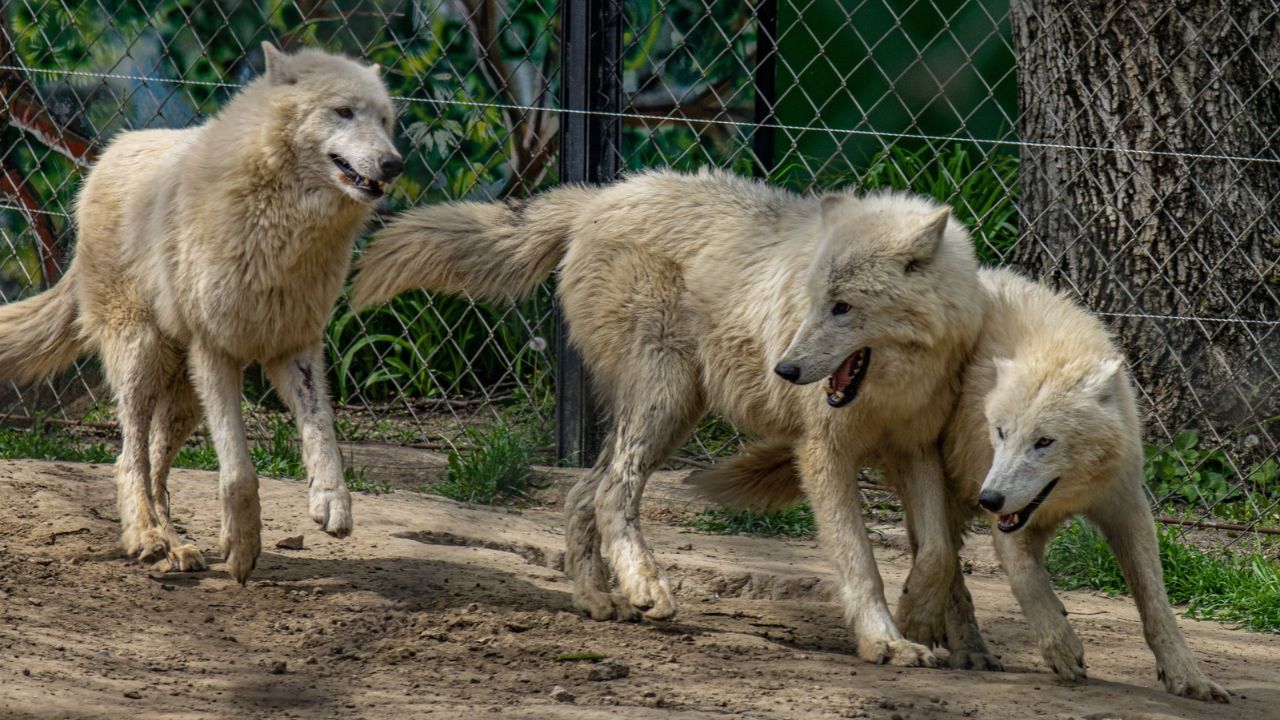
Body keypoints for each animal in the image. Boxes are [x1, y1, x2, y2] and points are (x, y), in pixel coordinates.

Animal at [0, 43, 402, 584]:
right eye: (343, 112)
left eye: (385, 119)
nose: (393, 163)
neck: (284, 230)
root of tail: (106, 156)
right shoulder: (215, 351)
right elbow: (238, 471)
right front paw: (242, 545)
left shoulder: (295, 348)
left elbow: (323, 433)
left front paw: (331, 502)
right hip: (143, 357)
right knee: (128, 460)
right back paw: (147, 537)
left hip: (183, 395)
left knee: (153, 465)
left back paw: (174, 545)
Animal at [352, 169, 984, 667]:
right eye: (812, 304)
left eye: (844, 307)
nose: (784, 368)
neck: (891, 387)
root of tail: (600, 195)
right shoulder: (823, 453)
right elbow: (859, 561)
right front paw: (887, 642)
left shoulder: (915, 449)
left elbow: (937, 553)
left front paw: (919, 621)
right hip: (666, 401)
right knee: (614, 492)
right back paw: (646, 588)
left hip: (668, 413)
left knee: (581, 493)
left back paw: (599, 601)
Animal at [694, 267, 1228, 702]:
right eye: (1001, 432)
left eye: (1044, 442)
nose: (990, 498)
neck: (1054, 346)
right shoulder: (999, 503)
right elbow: (1027, 582)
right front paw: (1060, 647)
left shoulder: (1125, 508)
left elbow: (1156, 604)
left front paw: (1189, 678)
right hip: (938, 483)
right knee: (944, 564)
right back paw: (967, 648)